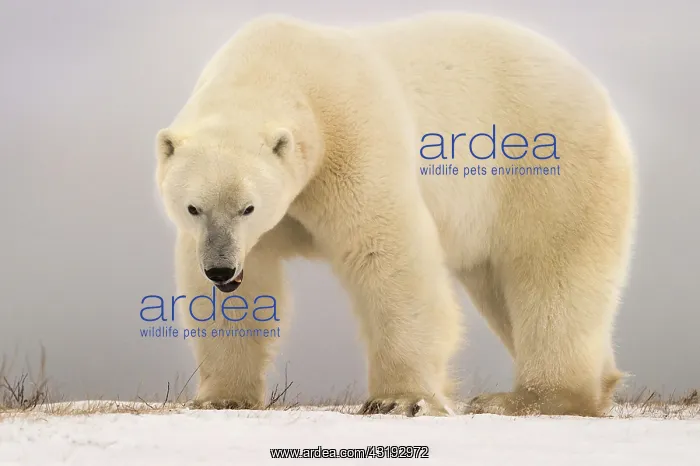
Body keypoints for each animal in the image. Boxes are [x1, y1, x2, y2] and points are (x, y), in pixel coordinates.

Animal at [154, 12, 636, 417]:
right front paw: (221, 398)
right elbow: (244, 288)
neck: (277, 64)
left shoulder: (353, 141)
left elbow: (387, 256)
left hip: (544, 166)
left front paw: (399, 399)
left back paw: (528, 398)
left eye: (248, 207)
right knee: (499, 289)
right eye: (193, 207)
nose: (220, 269)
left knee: (552, 273)